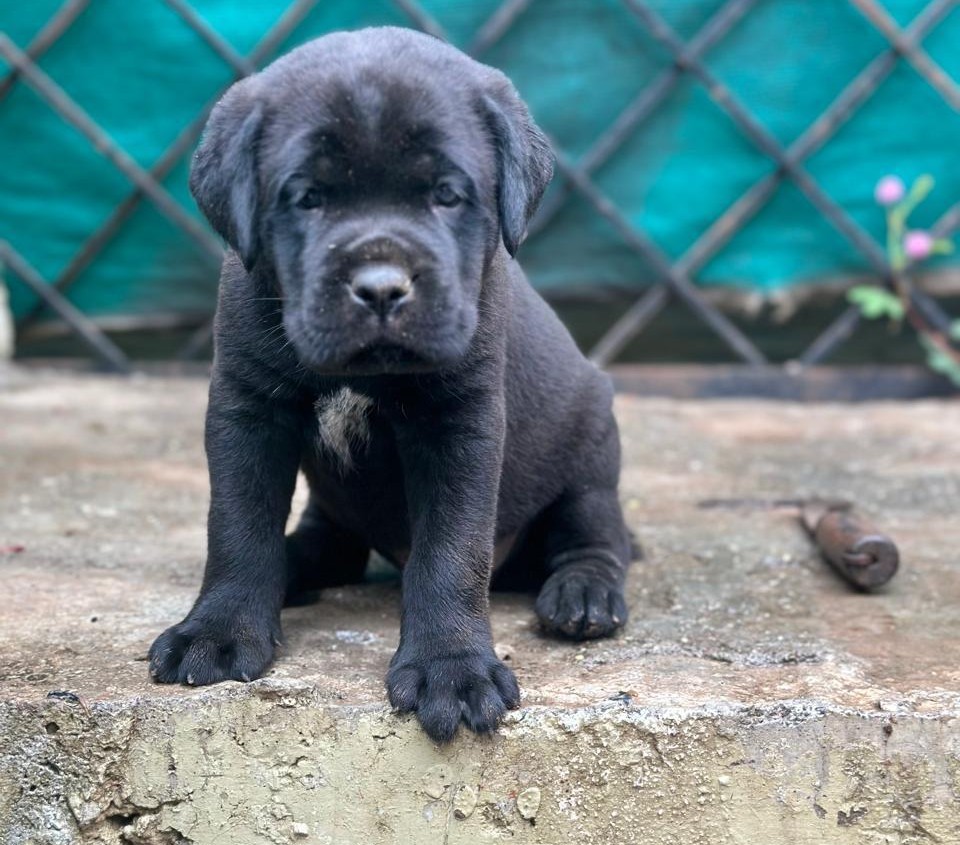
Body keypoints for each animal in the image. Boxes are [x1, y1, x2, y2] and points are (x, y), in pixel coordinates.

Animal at [148, 26, 632, 740]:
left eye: (447, 194)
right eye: (308, 197)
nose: (380, 287)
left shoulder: (459, 422)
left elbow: (452, 550)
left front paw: (450, 668)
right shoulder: (247, 408)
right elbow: (237, 523)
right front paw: (217, 630)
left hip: (592, 440)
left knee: (595, 533)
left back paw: (584, 593)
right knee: (330, 541)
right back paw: (294, 566)